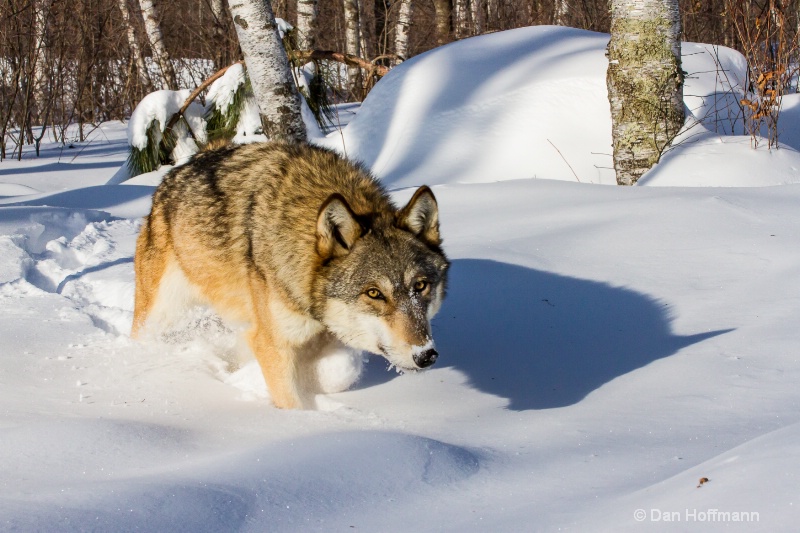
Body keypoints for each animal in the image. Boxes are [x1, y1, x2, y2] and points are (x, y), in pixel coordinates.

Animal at [128, 141, 446, 408]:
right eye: (374, 293)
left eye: (421, 286)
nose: (426, 355)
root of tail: (170, 177)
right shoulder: (274, 344)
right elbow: (290, 399)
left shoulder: (322, 332)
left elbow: (339, 370)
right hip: (161, 313)